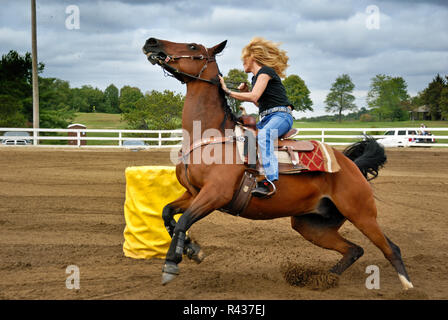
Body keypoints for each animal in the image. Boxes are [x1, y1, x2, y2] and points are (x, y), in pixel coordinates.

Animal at [142, 37, 414, 290]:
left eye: (193, 46)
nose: (151, 42)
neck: (212, 137)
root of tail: (352, 165)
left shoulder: (215, 194)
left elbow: (183, 221)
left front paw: (171, 264)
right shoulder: (194, 193)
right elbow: (168, 214)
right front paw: (193, 250)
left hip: (362, 214)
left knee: (391, 248)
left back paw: (407, 286)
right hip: (311, 225)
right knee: (354, 249)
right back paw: (323, 279)